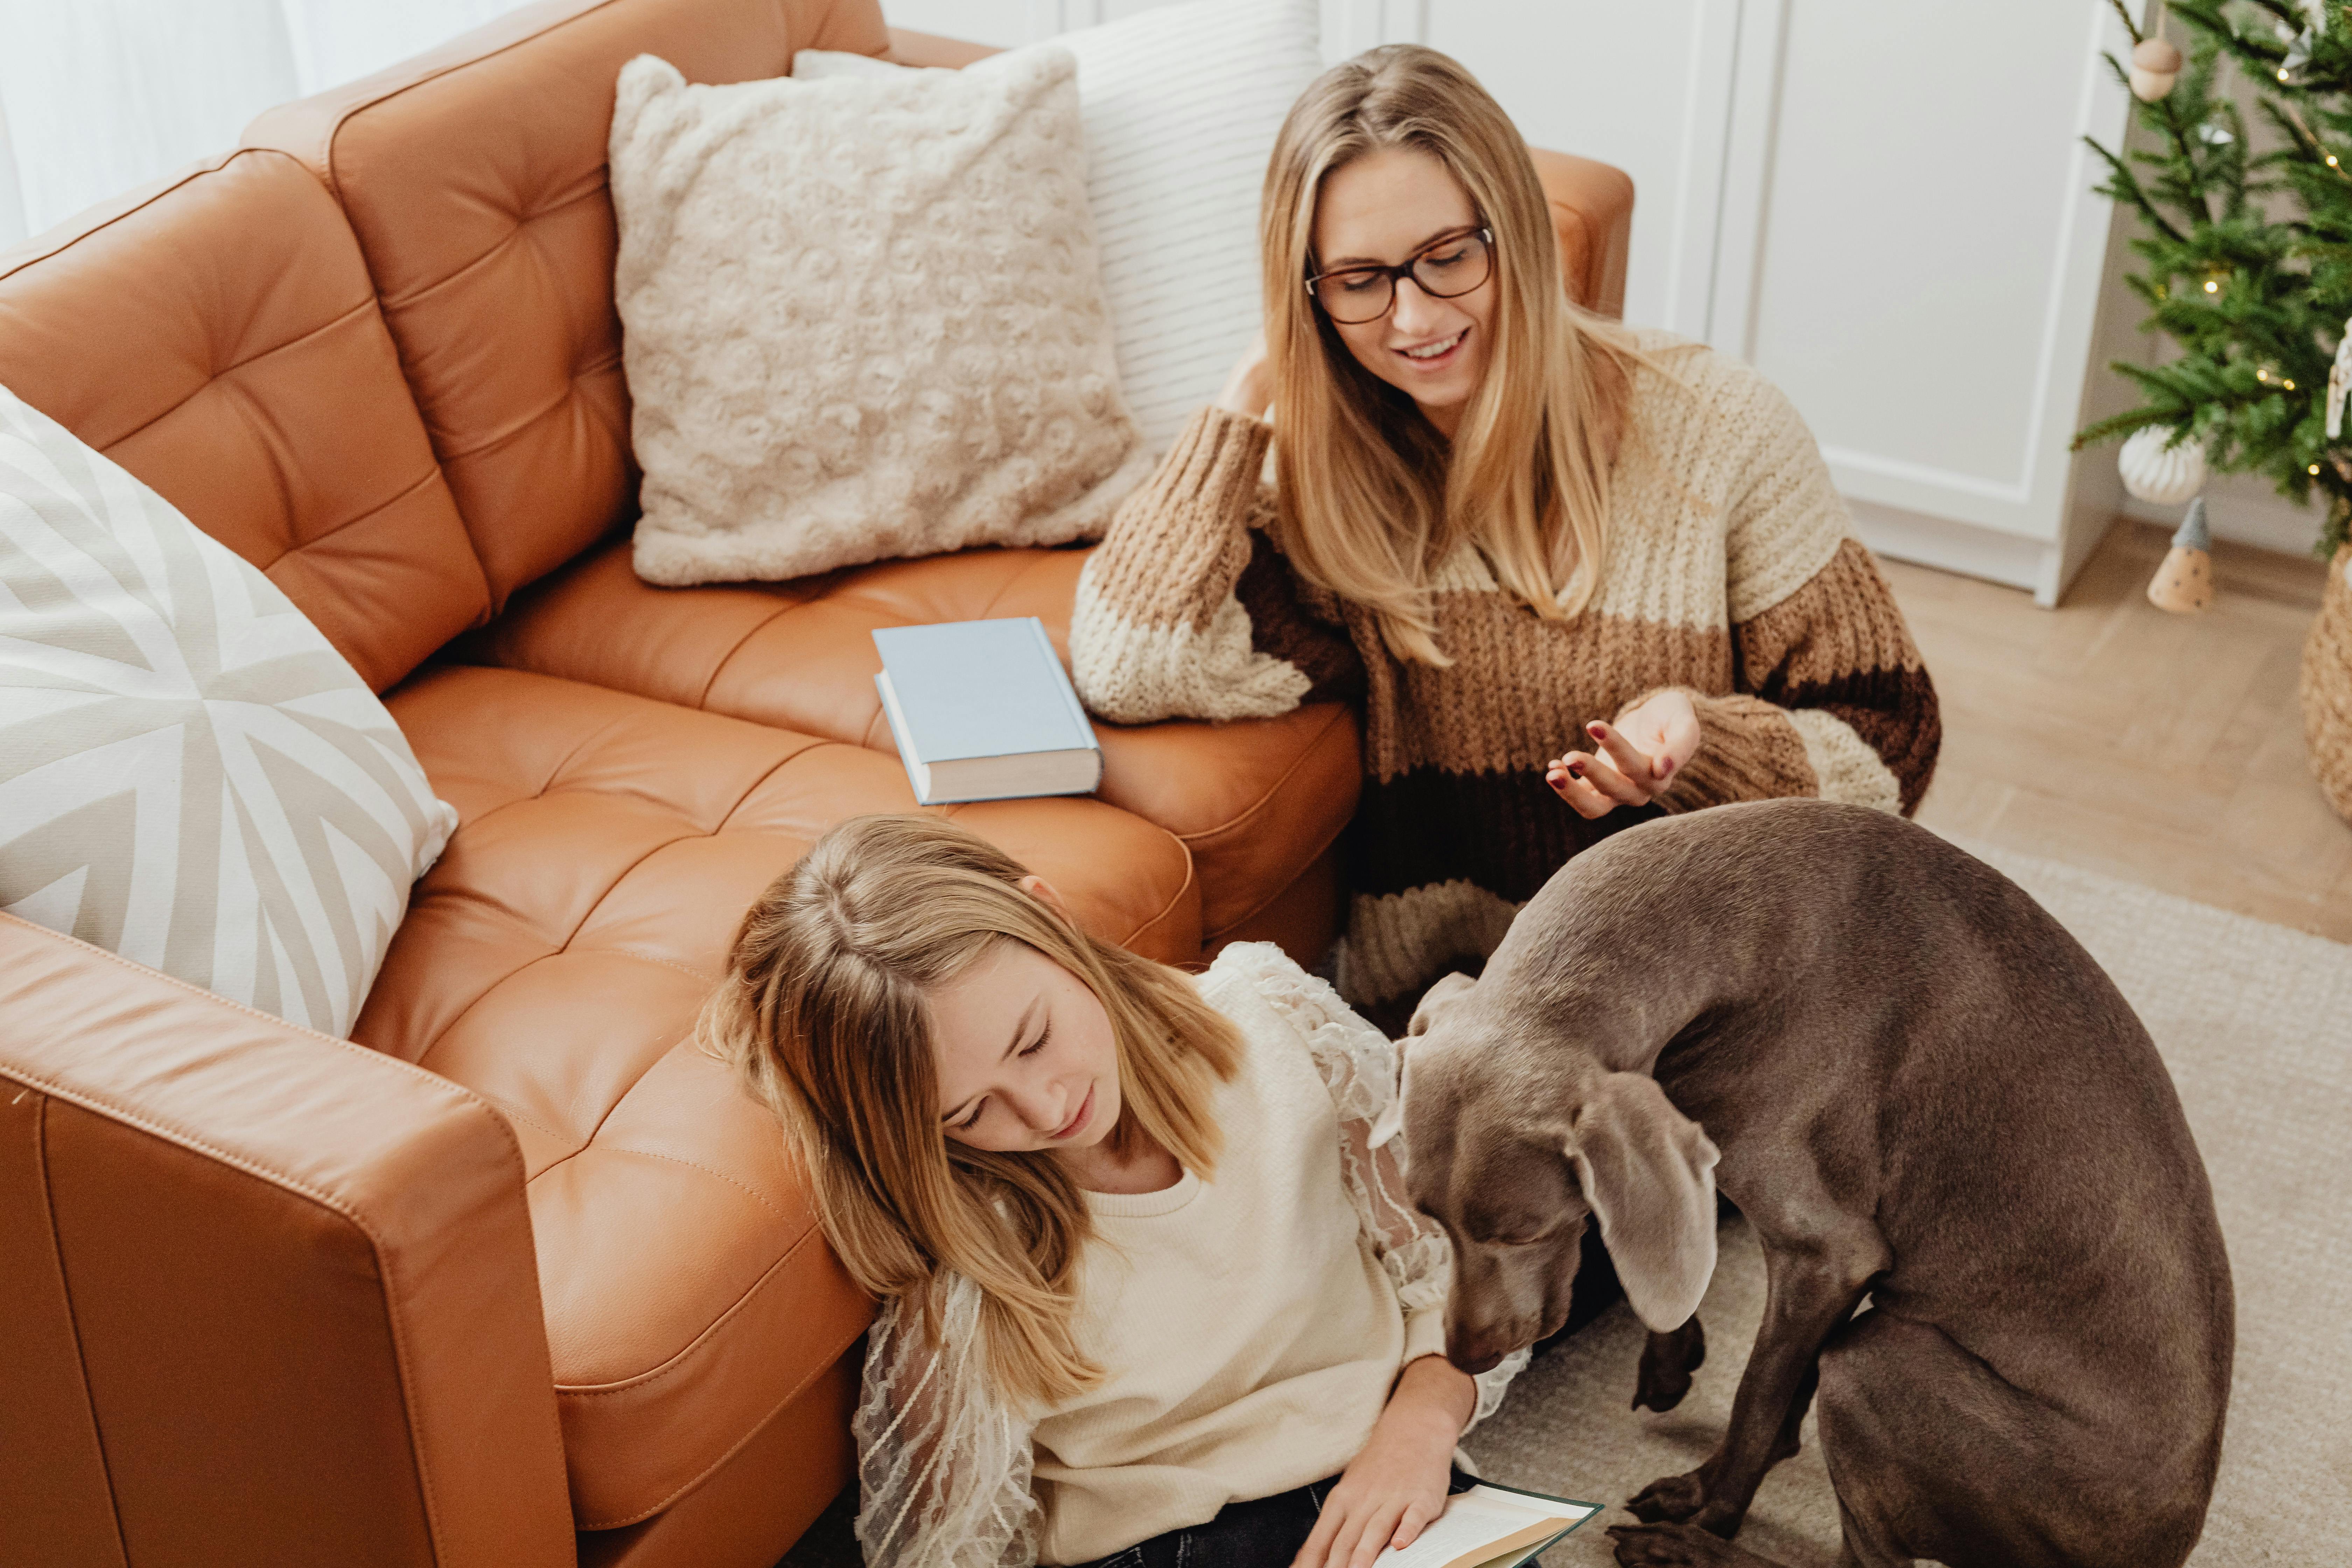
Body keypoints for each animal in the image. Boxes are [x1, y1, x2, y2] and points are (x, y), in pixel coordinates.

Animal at [1383, 804, 2230, 1561]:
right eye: (1428, 1219)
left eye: (1525, 1231)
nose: (1464, 1361)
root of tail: (2164, 1548)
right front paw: (1671, 1354)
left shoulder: (1828, 1253)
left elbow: (1755, 1395)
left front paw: (1708, 1507)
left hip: (1877, 1369)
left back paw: (1688, 1550)